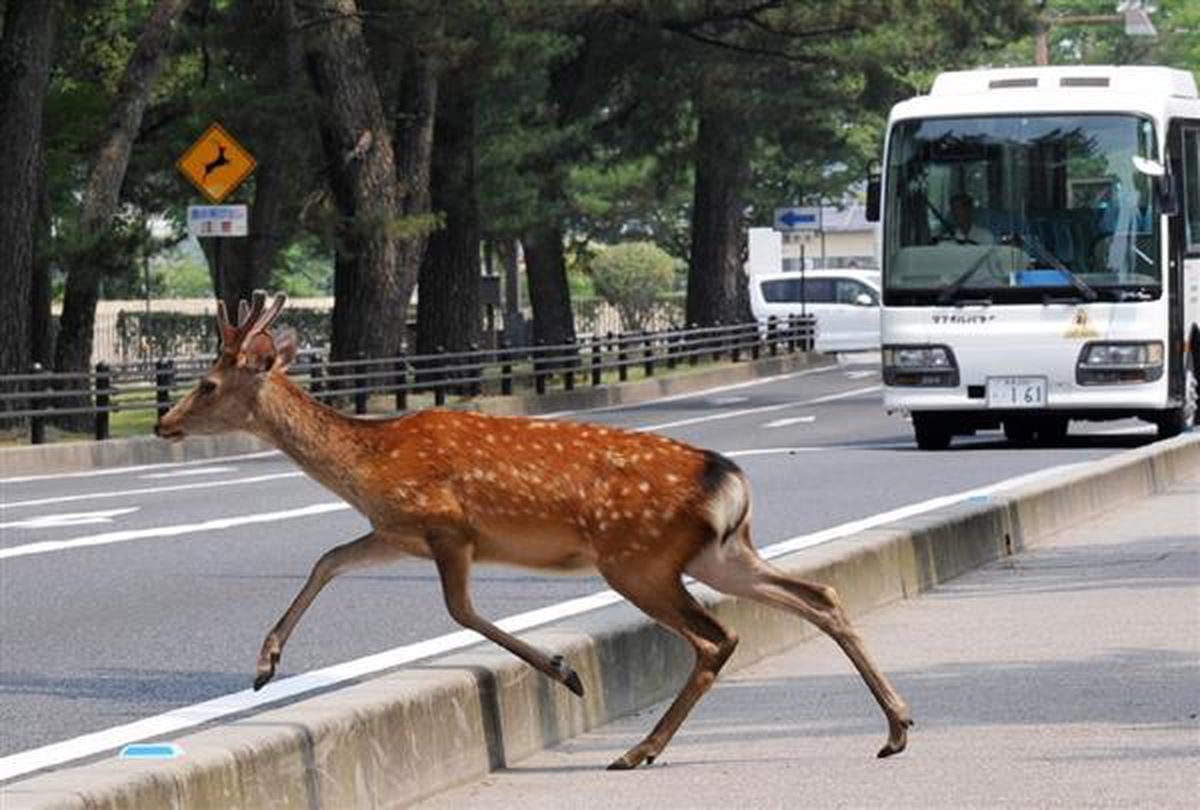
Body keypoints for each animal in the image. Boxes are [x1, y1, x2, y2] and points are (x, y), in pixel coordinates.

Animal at [154, 292, 912, 772]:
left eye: (208, 383)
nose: (163, 423)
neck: (368, 464)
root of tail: (728, 477)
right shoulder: (396, 531)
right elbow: (327, 559)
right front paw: (263, 666)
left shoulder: (446, 527)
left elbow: (460, 611)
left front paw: (564, 672)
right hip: (723, 553)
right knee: (819, 597)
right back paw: (896, 729)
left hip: (638, 559)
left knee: (716, 637)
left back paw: (638, 751)